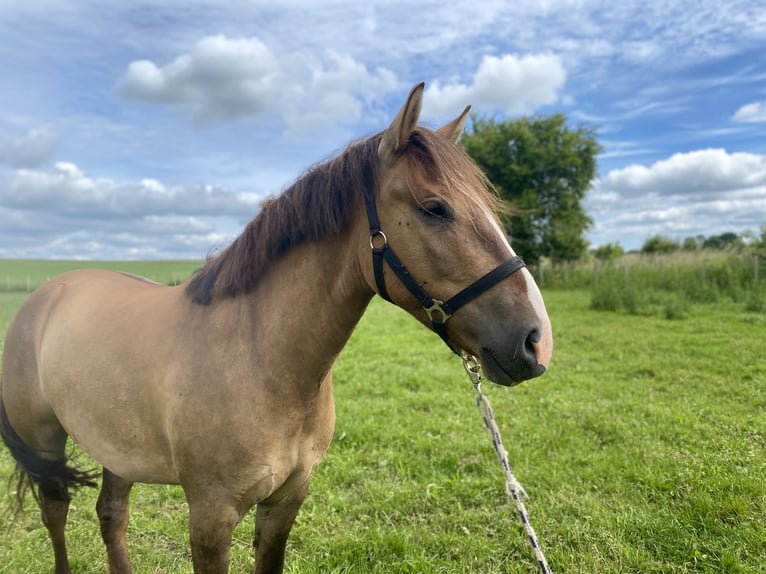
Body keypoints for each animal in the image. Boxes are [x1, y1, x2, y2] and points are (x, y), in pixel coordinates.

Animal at [0, 84, 552, 574]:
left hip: (116, 448)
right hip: (45, 443)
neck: (262, 360)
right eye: (434, 208)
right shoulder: (211, 516)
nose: (537, 340)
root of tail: (45, 296)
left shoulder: (285, 502)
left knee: (111, 516)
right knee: (56, 513)